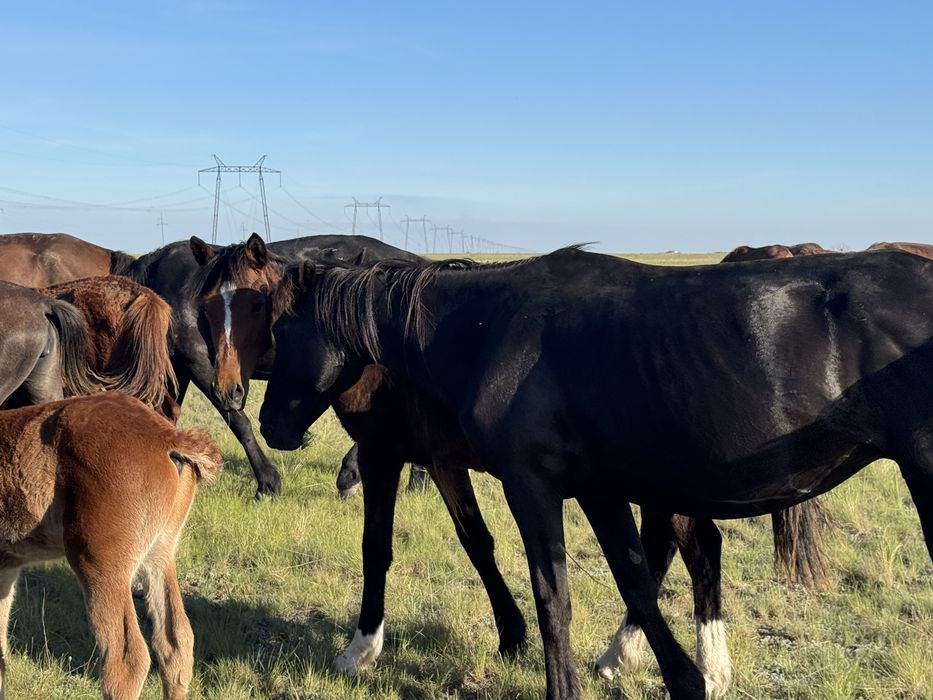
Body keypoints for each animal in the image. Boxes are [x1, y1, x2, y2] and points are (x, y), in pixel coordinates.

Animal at [0, 391, 221, 700]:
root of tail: (169, 435)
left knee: (126, 660)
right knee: (176, 643)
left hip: (100, 565)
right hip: (160, 555)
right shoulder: (7, 566)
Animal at [123, 232, 422, 495]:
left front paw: (267, 482)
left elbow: (238, 422)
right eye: (205, 308)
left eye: (256, 305)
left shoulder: (200, 365)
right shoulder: (183, 370)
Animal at [258, 248, 933, 700]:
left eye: (280, 328)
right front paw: (683, 679)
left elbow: (552, 598)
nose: (270, 426)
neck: (487, 329)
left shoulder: (530, 487)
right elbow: (637, 584)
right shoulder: (600, 491)